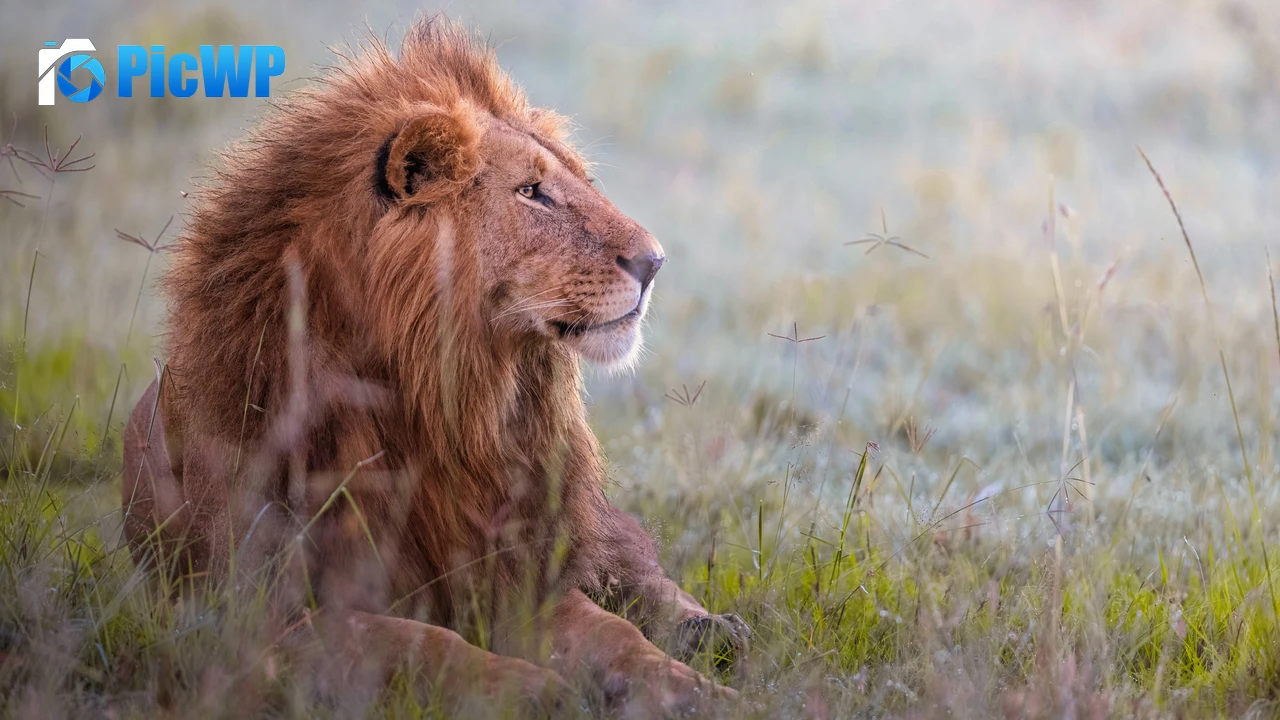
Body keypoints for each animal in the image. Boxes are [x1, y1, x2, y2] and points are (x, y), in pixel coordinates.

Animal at [120, 16, 748, 716]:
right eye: (532, 193)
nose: (656, 261)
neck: (444, 407)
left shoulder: (513, 570)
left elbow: (613, 632)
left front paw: (694, 689)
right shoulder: (257, 621)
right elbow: (416, 642)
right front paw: (532, 690)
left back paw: (712, 631)